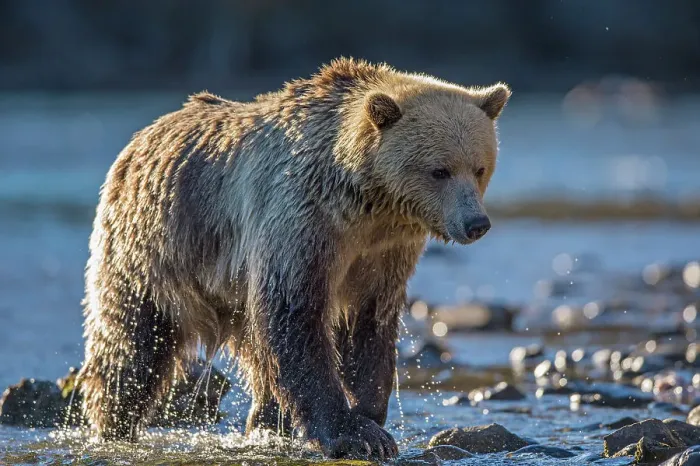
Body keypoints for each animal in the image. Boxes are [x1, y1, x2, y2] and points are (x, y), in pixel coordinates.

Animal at [79, 57, 510, 460]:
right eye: (440, 170)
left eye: (479, 167)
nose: (476, 223)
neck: (365, 202)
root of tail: (141, 137)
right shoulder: (301, 220)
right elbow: (294, 314)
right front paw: (354, 434)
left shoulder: (383, 252)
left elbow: (369, 322)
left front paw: (370, 413)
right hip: (154, 246)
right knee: (131, 342)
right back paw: (114, 423)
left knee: (257, 354)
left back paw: (266, 421)